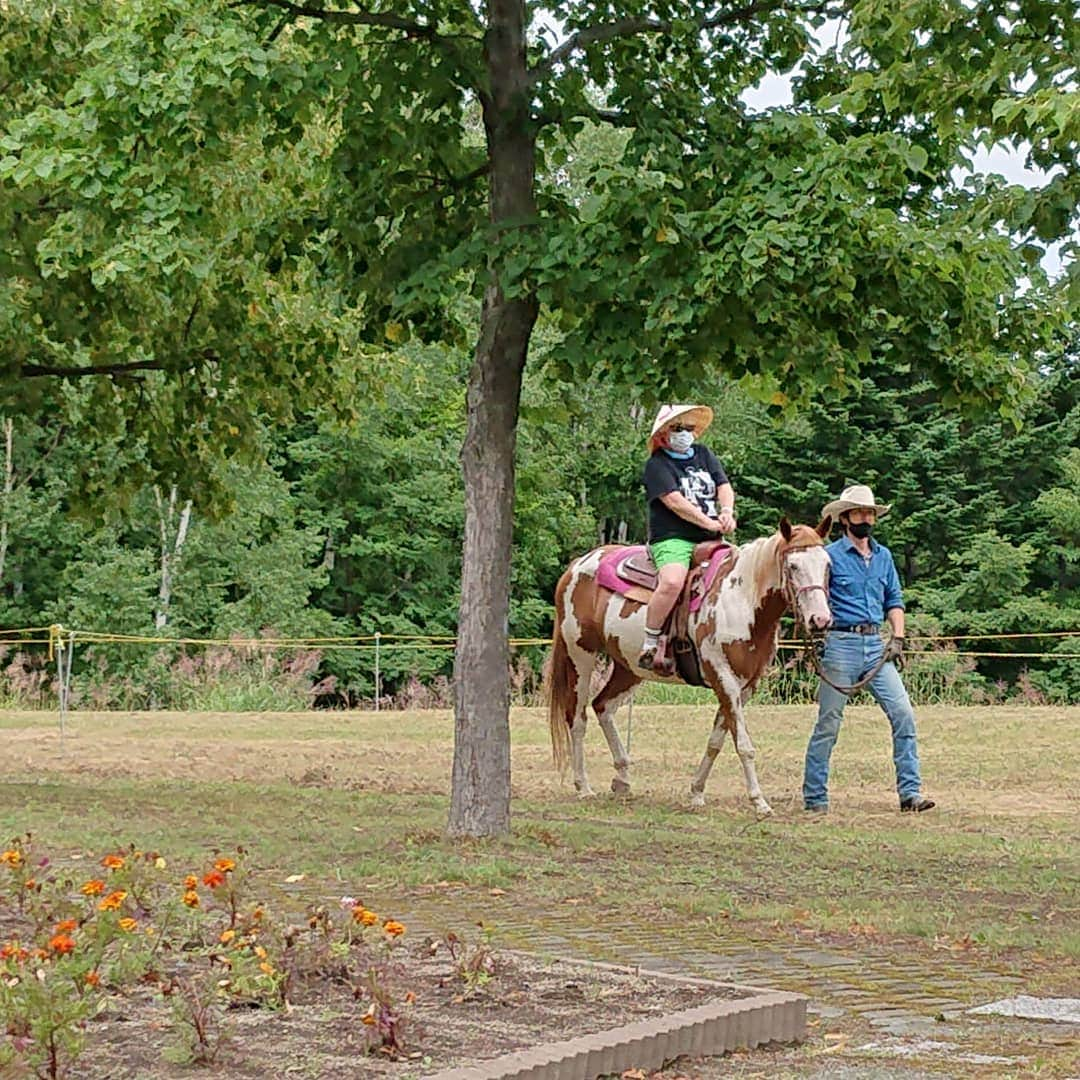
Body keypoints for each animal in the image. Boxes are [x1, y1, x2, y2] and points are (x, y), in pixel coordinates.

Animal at [548, 518, 833, 812]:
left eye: (827, 565)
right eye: (793, 566)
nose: (820, 620)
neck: (741, 598)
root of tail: (577, 566)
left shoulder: (745, 686)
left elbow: (716, 741)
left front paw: (696, 792)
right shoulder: (723, 678)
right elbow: (743, 743)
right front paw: (759, 801)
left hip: (628, 667)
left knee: (603, 706)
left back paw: (623, 778)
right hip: (581, 656)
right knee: (577, 718)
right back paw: (583, 786)